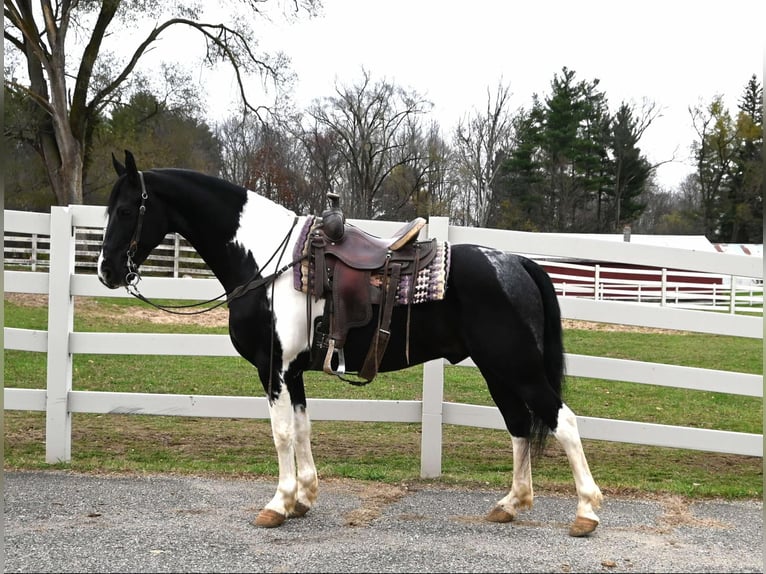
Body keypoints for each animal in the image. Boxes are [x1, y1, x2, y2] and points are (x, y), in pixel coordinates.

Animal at [97, 150, 603, 537]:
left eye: (125, 210)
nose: (106, 271)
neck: (267, 263)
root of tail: (517, 261)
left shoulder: (272, 368)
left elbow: (281, 433)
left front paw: (277, 504)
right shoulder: (293, 371)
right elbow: (302, 429)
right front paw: (303, 498)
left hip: (518, 366)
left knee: (563, 421)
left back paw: (586, 513)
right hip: (497, 370)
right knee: (519, 425)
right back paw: (510, 504)